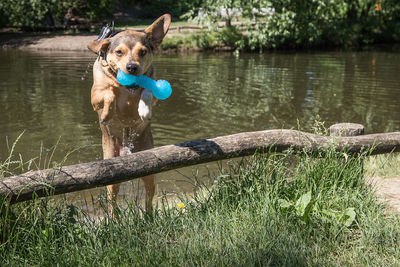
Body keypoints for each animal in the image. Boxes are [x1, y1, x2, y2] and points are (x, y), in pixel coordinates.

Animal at [86, 14, 171, 215]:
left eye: (143, 52)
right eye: (119, 52)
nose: (132, 67)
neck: (127, 88)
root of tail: (126, 150)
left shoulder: (153, 89)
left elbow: (147, 91)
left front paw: (144, 110)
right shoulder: (95, 95)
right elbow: (109, 92)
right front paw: (107, 114)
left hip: (150, 171)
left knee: (148, 196)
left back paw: (148, 216)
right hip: (111, 174)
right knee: (112, 200)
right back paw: (114, 218)